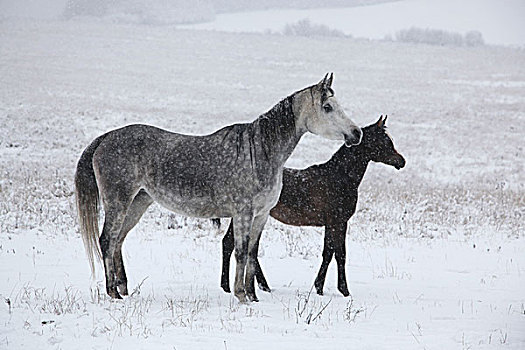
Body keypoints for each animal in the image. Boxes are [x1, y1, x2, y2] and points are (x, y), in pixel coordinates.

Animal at [74, 72, 360, 302]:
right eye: (327, 107)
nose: (356, 134)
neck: (259, 152)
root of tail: (105, 138)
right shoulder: (243, 213)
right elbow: (241, 253)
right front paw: (241, 295)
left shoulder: (262, 215)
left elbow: (252, 254)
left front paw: (253, 296)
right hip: (118, 201)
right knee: (107, 240)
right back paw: (112, 292)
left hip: (138, 202)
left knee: (118, 241)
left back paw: (123, 289)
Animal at [219, 116, 404, 296]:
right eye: (385, 141)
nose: (401, 161)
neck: (339, 177)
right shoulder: (338, 222)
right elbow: (340, 255)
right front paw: (344, 290)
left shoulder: (331, 224)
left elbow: (328, 254)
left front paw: (319, 287)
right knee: (230, 244)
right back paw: (230, 287)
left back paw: (257, 286)